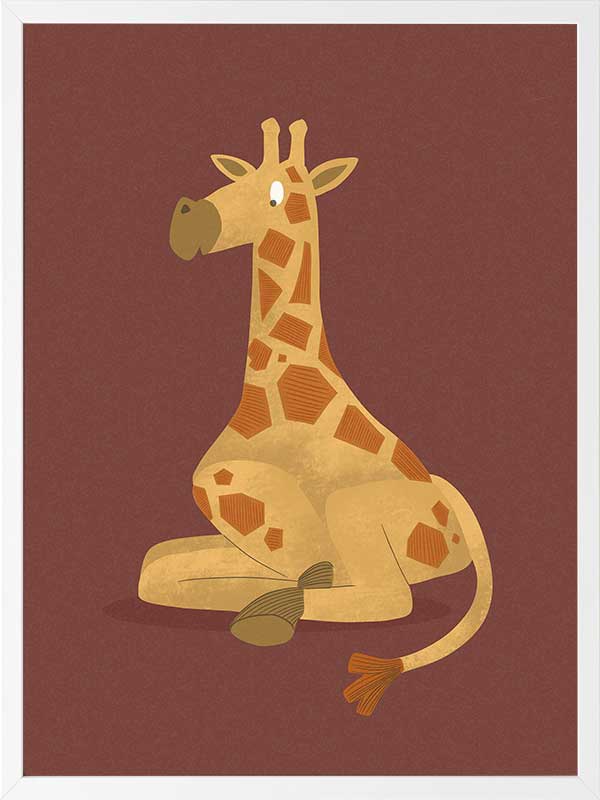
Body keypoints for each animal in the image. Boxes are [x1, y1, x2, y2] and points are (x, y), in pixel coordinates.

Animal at [138, 118, 493, 716]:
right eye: (235, 176)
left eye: (278, 195)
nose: (189, 217)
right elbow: (156, 567)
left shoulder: (265, 513)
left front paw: (277, 601)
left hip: (356, 512)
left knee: (391, 598)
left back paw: (266, 619)